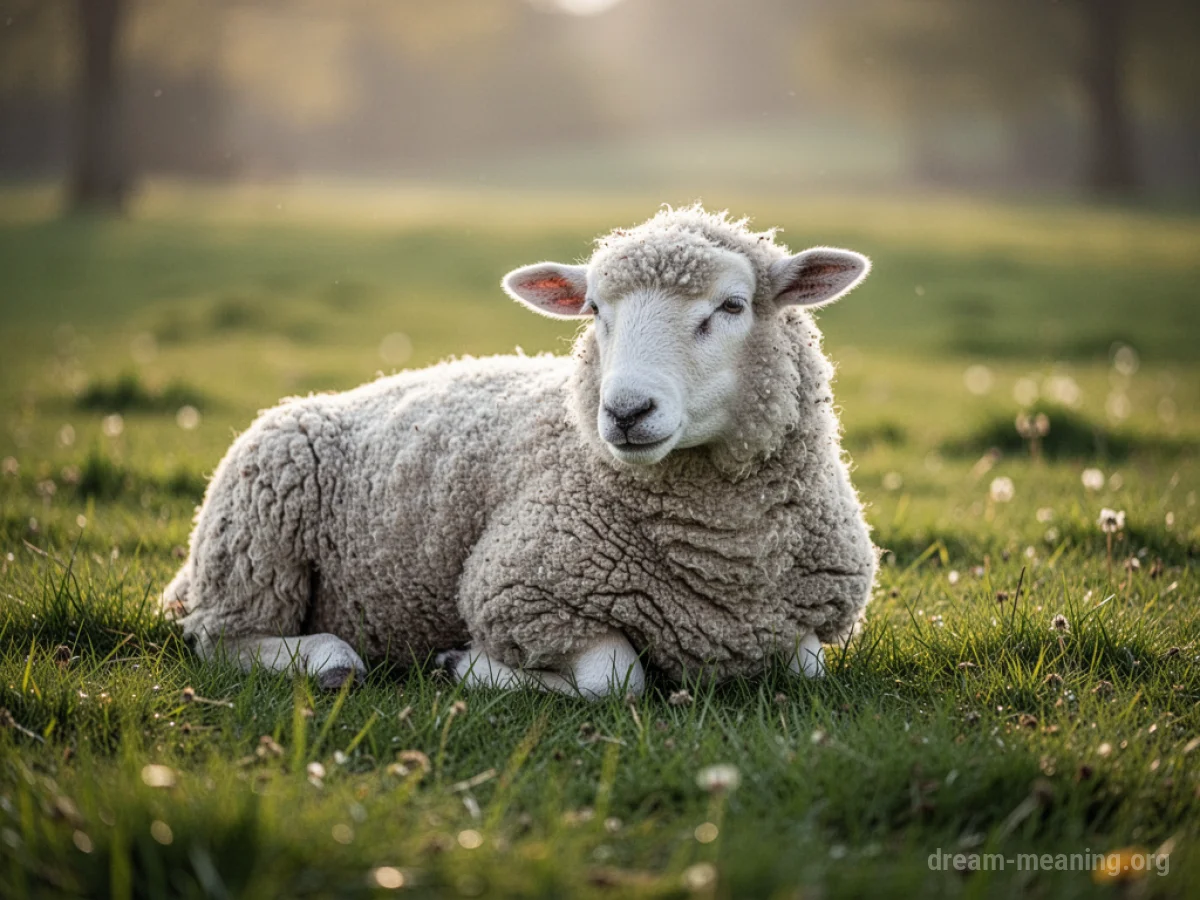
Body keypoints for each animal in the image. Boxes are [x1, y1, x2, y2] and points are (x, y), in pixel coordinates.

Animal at [162, 204, 877, 697]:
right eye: (595, 311)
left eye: (731, 306)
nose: (625, 412)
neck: (728, 564)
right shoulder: (517, 590)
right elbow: (616, 679)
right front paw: (465, 663)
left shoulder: (804, 621)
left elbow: (810, 669)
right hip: (253, 550)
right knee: (219, 638)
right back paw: (331, 661)